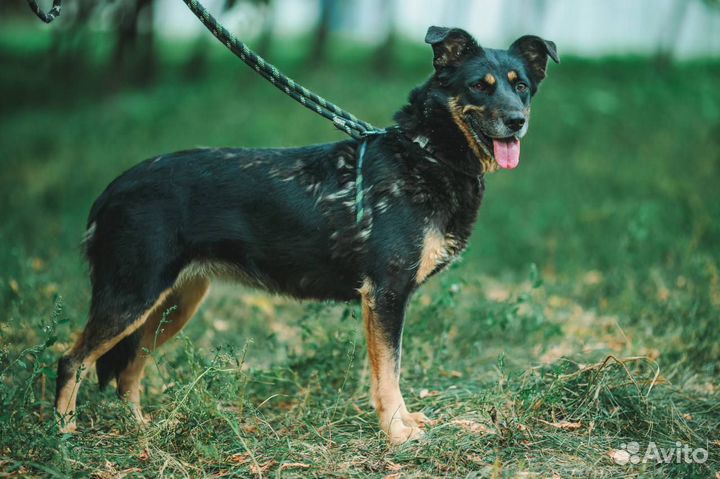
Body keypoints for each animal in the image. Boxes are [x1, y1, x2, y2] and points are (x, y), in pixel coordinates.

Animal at [56, 26, 560, 444]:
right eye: (479, 85)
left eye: (521, 86)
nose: (517, 121)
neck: (425, 152)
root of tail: (112, 190)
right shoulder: (385, 294)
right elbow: (389, 374)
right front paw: (397, 433)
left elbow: (392, 370)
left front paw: (403, 424)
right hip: (132, 295)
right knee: (72, 360)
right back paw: (63, 434)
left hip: (172, 304)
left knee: (129, 368)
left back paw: (140, 430)